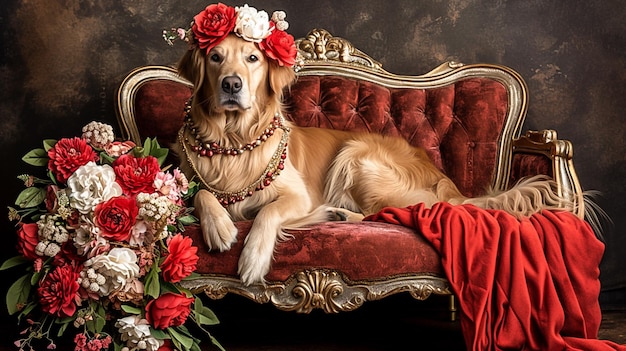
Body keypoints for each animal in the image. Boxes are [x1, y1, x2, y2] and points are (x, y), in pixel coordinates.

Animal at [172, 32, 564, 286]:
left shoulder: (299, 195)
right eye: (215, 57)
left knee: (400, 211)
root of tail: (445, 179)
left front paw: (253, 257)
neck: (233, 141)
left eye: (252, 59)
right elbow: (203, 192)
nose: (231, 84)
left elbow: (267, 211)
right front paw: (220, 225)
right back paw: (337, 215)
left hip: (356, 155)